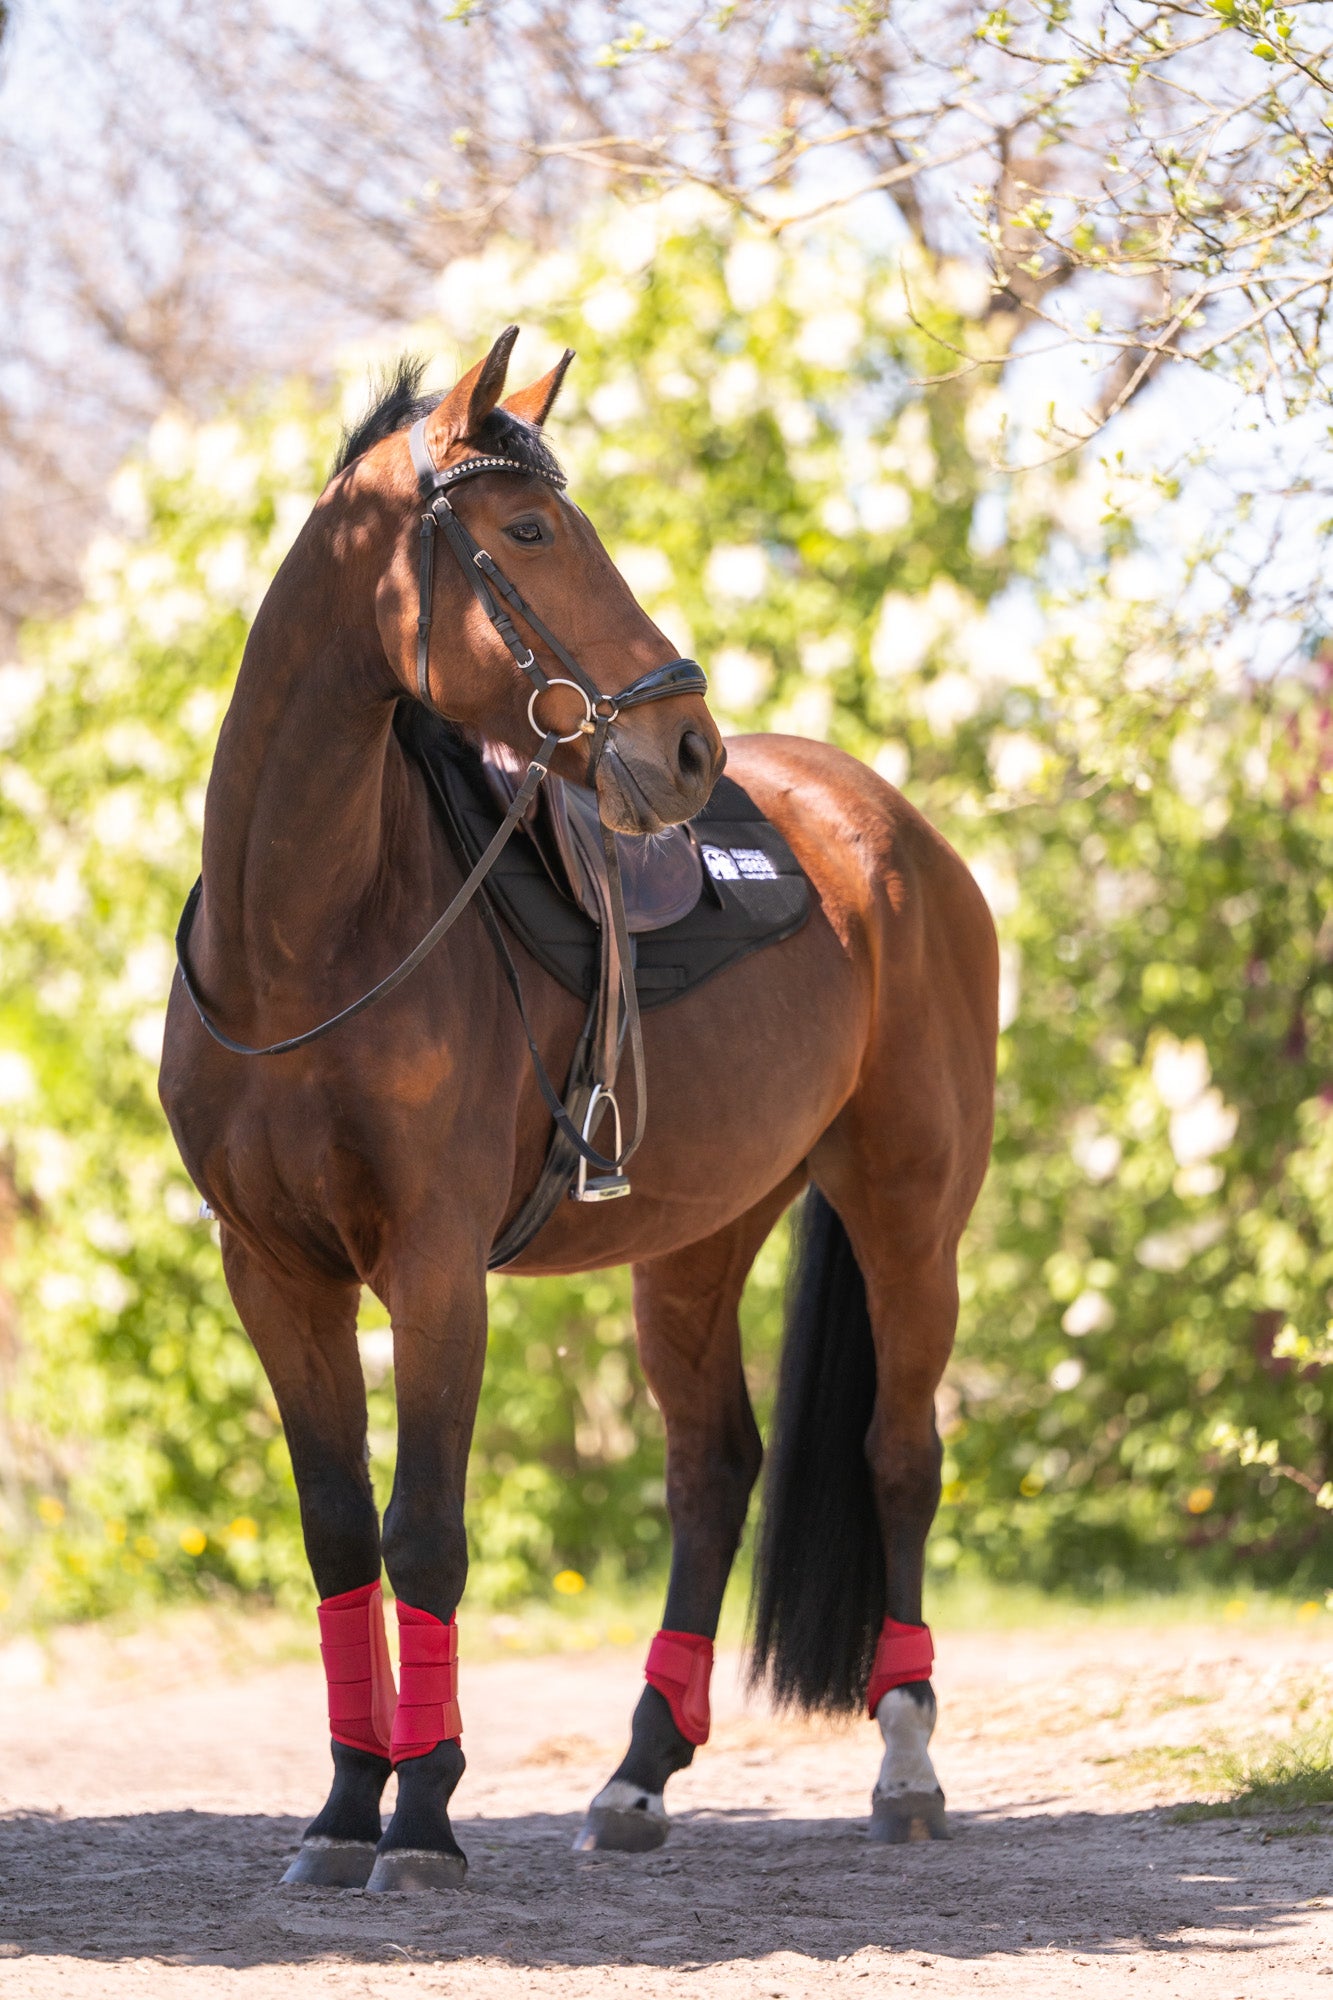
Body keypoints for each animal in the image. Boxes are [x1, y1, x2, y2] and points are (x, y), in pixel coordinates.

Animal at [159, 326, 998, 1891]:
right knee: (712, 1470)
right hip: (697, 1237)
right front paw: (343, 1807)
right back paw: (638, 1773)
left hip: (909, 1211)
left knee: (899, 1458)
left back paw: (906, 1761)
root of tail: (892, 831)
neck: (310, 938)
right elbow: (337, 1536)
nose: (684, 747)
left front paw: (423, 1817)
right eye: (530, 530)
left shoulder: (432, 1267)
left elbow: (425, 1533)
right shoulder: (277, 1274)